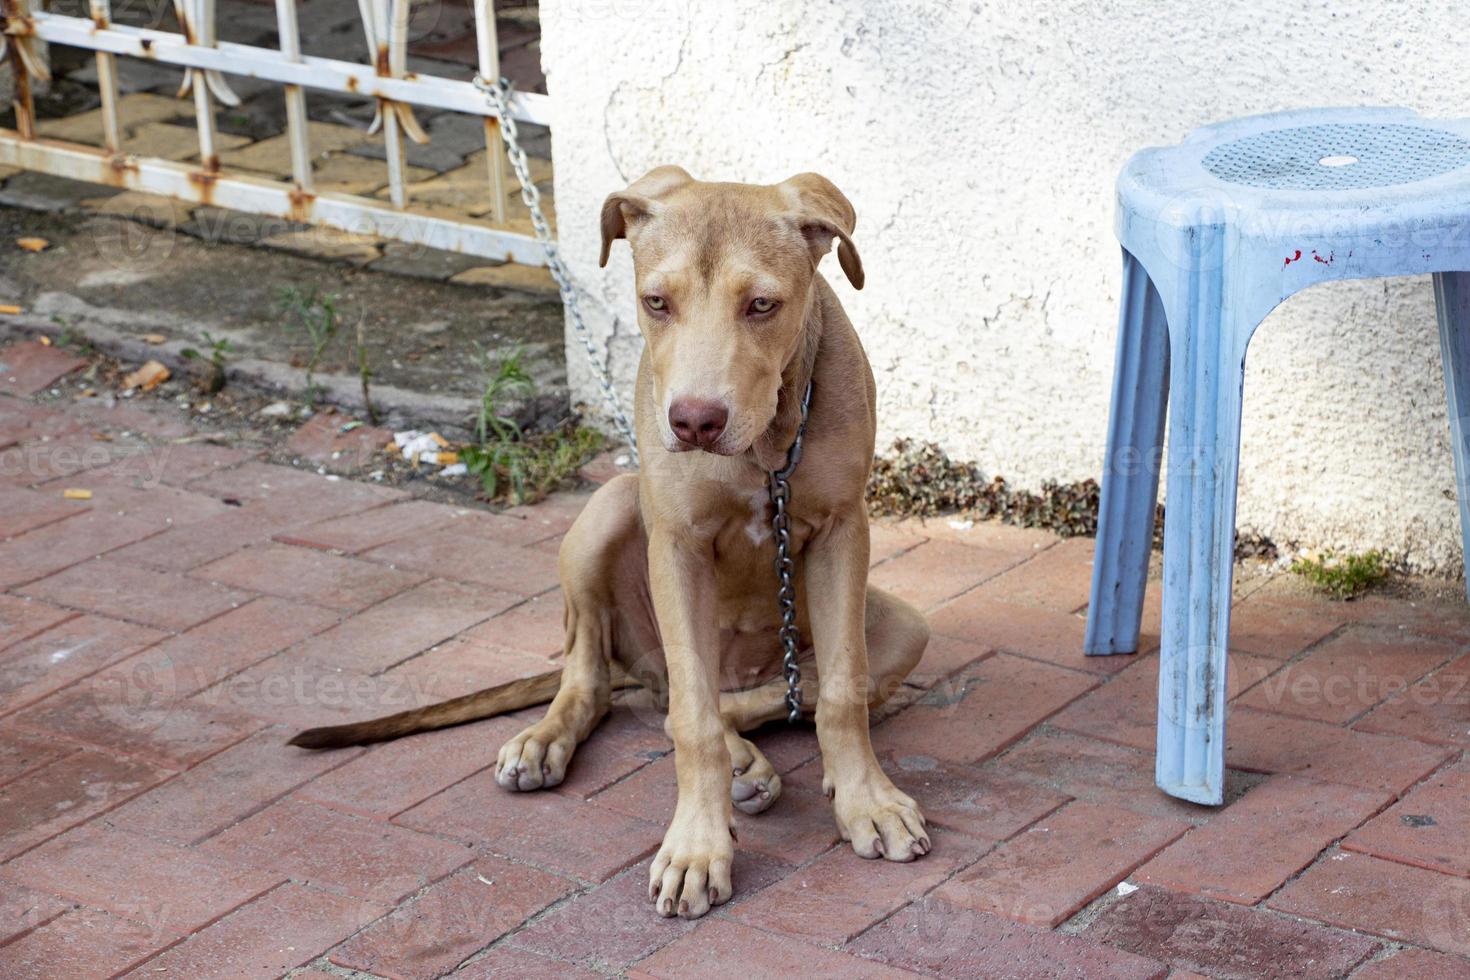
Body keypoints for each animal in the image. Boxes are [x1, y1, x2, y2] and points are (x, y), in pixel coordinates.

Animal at [289, 168, 929, 922]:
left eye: (762, 305)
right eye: (656, 302)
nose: (694, 421)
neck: (765, 452)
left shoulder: (841, 531)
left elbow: (842, 692)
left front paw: (868, 801)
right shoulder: (677, 544)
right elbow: (693, 723)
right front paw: (696, 847)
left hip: (903, 625)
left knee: (753, 695)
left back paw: (748, 757)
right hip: (608, 511)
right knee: (616, 684)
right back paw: (555, 742)